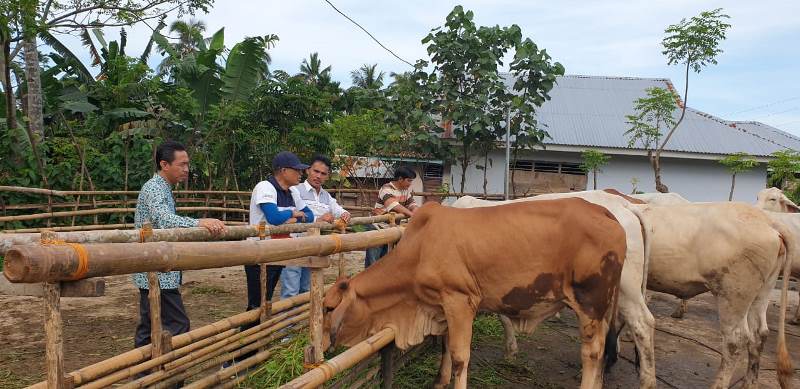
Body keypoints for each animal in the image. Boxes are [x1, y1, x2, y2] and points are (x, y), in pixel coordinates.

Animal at [322, 200, 628, 388]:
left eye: (328, 308)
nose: (322, 348)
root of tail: (606, 213)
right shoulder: (442, 305)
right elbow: (446, 346)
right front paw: (439, 380)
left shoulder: (460, 300)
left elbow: (460, 356)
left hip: (590, 302)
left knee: (593, 353)